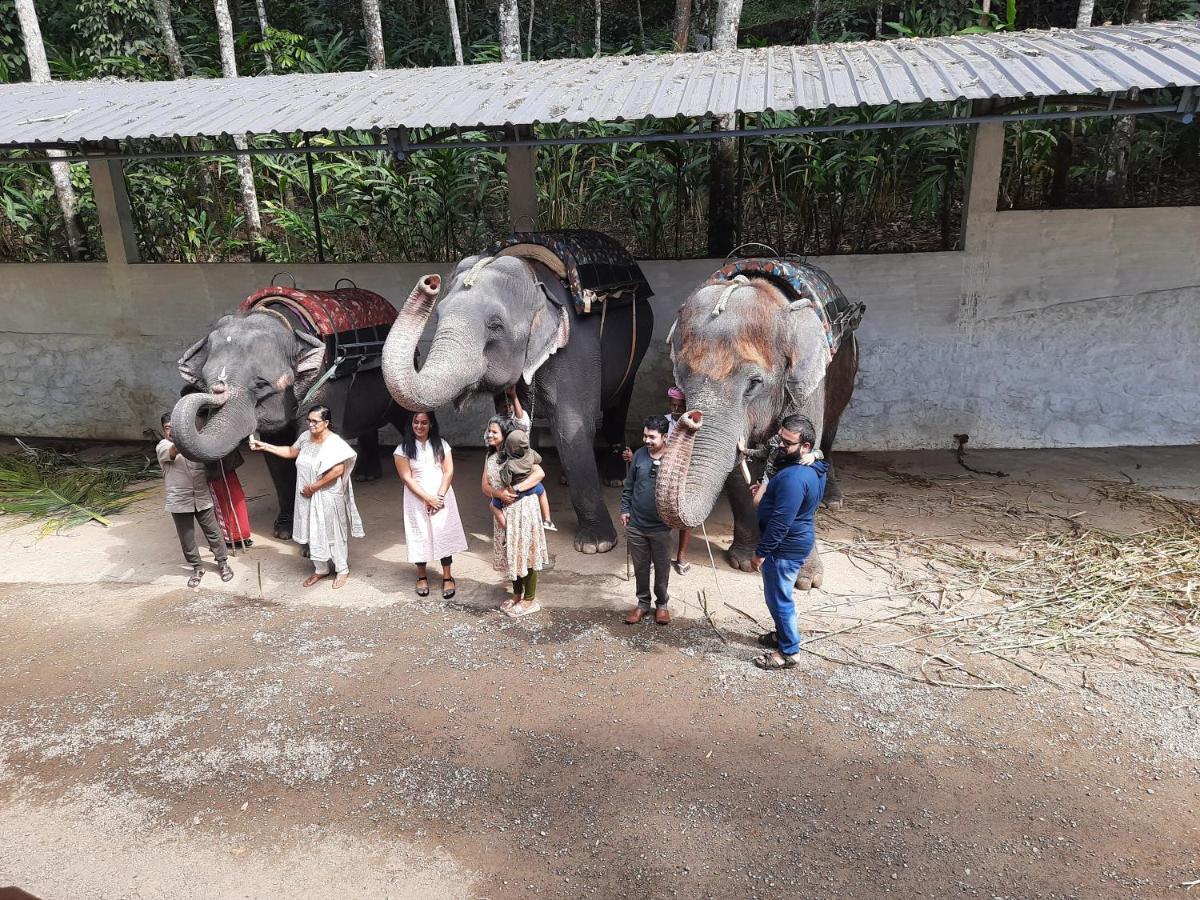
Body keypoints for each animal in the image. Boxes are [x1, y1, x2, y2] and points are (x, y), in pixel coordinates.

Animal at [166, 303, 412, 542]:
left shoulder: (325, 385)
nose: (217, 389)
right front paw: (283, 531)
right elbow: (278, 454)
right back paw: (366, 475)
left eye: (261, 384)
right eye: (206, 382)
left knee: (405, 417)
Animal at [384, 248, 652, 556]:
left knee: (619, 400)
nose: (430, 282)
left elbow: (571, 428)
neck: (533, 278)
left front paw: (596, 546)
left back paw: (614, 478)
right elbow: (512, 421)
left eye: (495, 325)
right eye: (438, 316)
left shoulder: (577, 349)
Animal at [657, 256, 864, 588]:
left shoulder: (807, 382)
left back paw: (832, 500)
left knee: (830, 435)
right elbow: (737, 471)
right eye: (682, 377)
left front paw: (806, 582)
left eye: (754, 383)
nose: (690, 417)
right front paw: (742, 562)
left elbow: (807, 459)